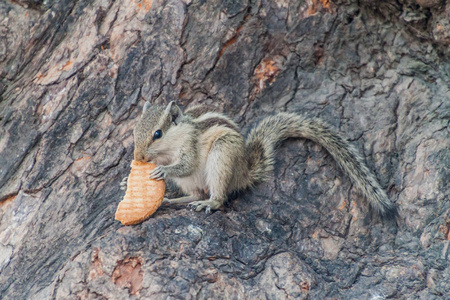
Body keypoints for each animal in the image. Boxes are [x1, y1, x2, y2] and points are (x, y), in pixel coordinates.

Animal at [123, 101, 398, 218]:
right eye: (134, 131)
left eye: (157, 134)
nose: (139, 157)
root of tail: (244, 171)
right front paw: (127, 180)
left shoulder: (189, 146)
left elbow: (185, 164)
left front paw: (163, 171)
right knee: (194, 194)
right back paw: (169, 201)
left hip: (222, 154)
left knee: (217, 197)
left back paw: (207, 204)